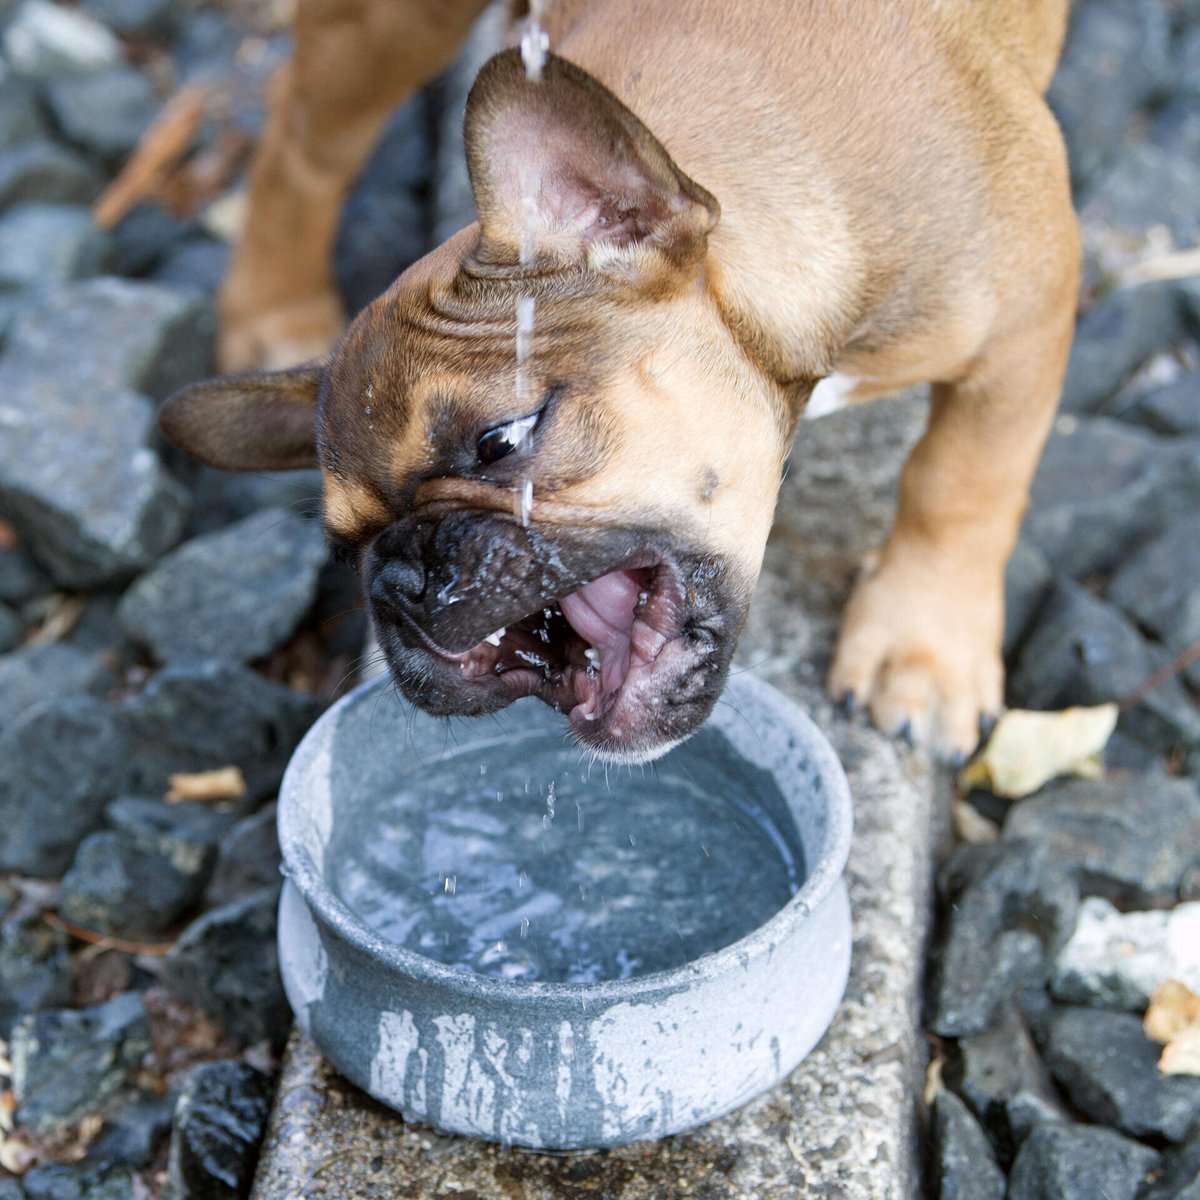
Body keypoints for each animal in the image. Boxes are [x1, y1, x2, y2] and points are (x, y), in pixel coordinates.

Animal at [159, 0, 1080, 763]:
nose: (398, 581)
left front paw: (921, 650)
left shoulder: (1025, 329)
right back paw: (272, 302)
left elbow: (960, 483)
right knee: (304, 145)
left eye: (502, 440)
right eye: (344, 550)